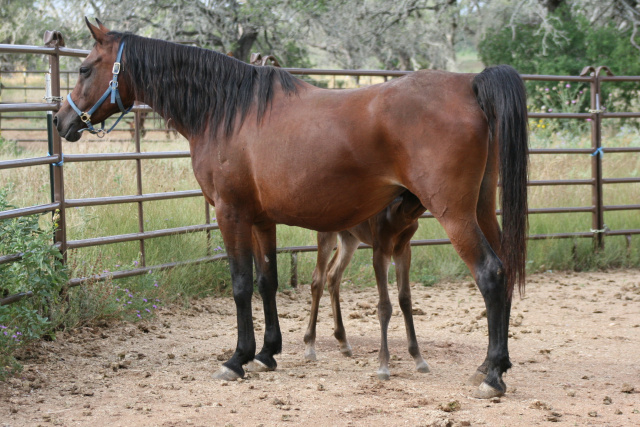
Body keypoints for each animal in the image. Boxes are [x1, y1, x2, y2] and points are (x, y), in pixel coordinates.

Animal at [304, 191, 430, 382]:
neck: (402, 208)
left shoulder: (403, 248)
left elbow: (405, 299)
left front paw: (418, 358)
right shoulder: (381, 249)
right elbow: (384, 305)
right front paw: (383, 365)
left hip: (350, 238)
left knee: (333, 275)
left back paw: (343, 342)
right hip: (328, 232)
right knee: (318, 280)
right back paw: (310, 345)